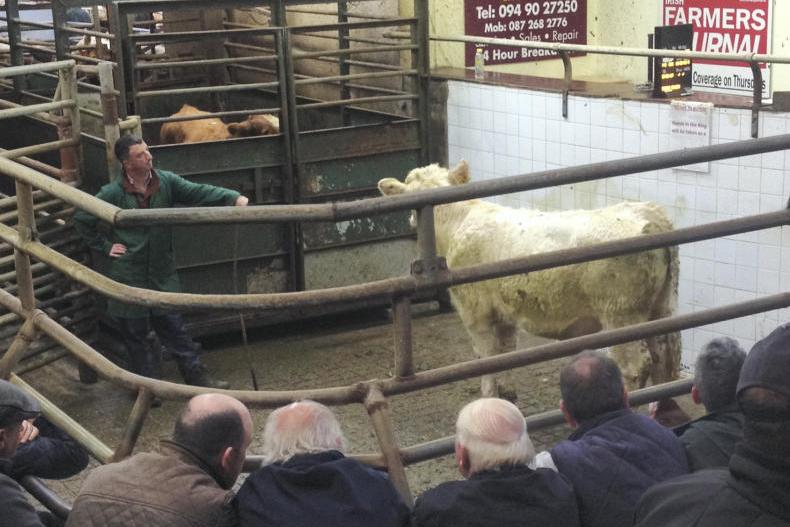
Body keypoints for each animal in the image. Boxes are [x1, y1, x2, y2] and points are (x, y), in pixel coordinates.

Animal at [378, 160, 680, 399]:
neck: (456, 222)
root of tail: (651, 217)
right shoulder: (505, 313)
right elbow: (506, 354)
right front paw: (508, 393)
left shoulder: (476, 314)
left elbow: (486, 358)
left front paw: (488, 397)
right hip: (660, 308)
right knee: (662, 360)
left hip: (621, 315)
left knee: (636, 368)